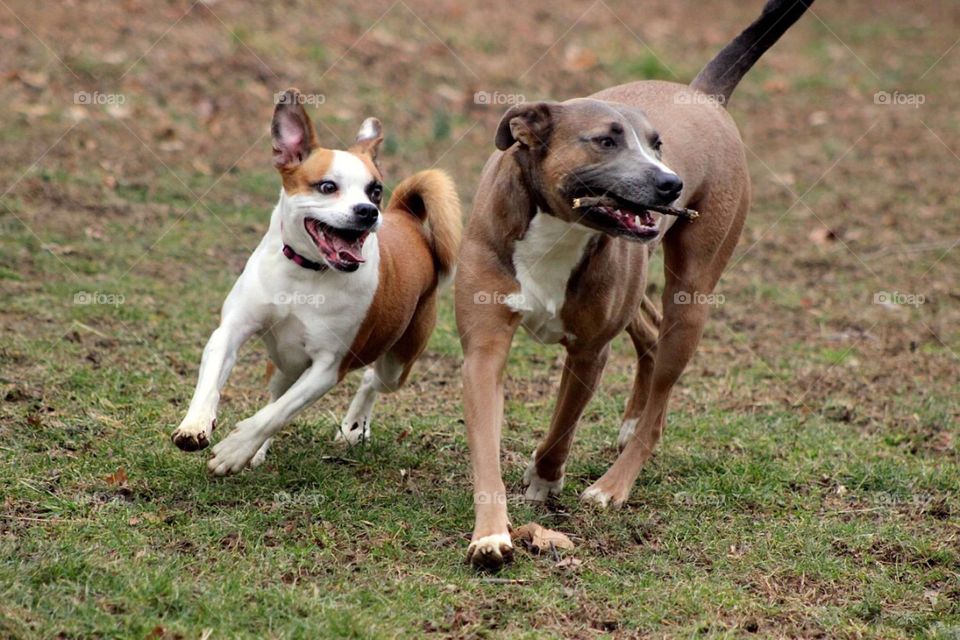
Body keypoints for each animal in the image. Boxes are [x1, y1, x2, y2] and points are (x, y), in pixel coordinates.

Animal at [172, 87, 462, 472]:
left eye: (375, 190)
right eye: (327, 186)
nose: (368, 212)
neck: (307, 272)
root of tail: (405, 216)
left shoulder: (328, 367)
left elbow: (276, 414)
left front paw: (235, 449)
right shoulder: (232, 330)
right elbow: (213, 381)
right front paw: (196, 424)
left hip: (397, 362)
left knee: (369, 380)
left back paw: (353, 427)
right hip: (285, 363)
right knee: (277, 393)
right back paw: (259, 451)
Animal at [454, 0, 812, 568]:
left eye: (657, 145)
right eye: (604, 141)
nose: (671, 183)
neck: (559, 227)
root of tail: (704, 93)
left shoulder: (588, 352)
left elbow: (562, 427)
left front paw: (544, 478)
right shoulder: (484, 348)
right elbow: (487, 445)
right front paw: (490, 536)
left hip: (692, 295)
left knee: (660, 404)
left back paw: (615, 482)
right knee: (648, 330)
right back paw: (627, 423)